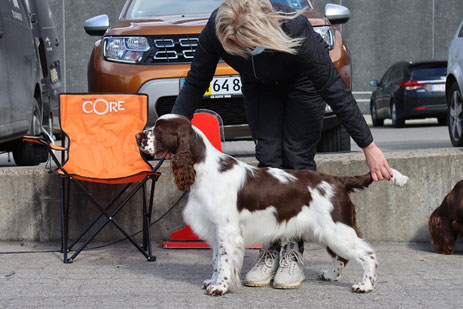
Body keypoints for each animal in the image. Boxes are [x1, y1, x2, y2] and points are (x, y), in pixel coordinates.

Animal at [135, 114, 410, 294]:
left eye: (158, 129)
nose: (137, 135)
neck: (204, 169)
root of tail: (339, 181)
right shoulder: (215, 230)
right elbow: (215, 260)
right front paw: (212, 282)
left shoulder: (226, 230)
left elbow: (223, 261)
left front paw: (220, 287)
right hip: (327, 231)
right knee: (342, 257)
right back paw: (330, 275)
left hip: (337, 230)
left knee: (367, 254)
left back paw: (365, 285)